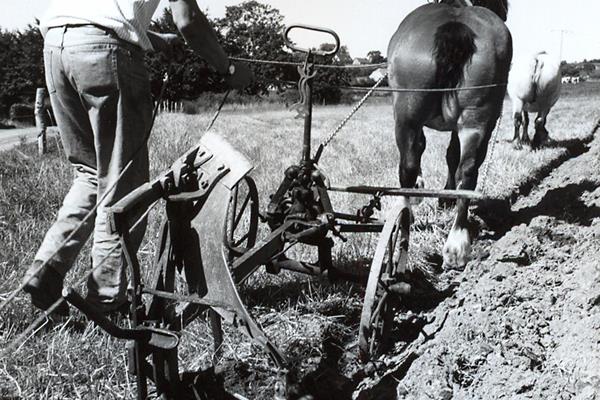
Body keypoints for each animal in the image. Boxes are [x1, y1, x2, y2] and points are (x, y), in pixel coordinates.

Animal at [390, 0, 510, 268]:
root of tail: (455, 27)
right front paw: (445, 196)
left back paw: (410, 217)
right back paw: (456, 243)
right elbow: (452, 155)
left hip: (407, 117)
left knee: (408, 165)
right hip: (476, 120)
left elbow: (426, 148)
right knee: (468, 171)